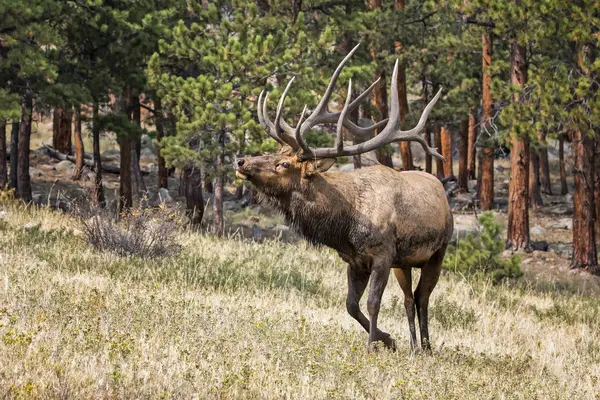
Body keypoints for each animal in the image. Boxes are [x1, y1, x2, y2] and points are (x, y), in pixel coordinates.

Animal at [237, 44, 452, 354]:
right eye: (273, 153)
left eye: (283, 164)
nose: (241, 161)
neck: (344, 224)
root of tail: (442, 190)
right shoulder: (354, 261)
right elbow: (351, 305)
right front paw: (387, 339)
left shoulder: (383, 254)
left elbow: (373, 303)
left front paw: (372, 346)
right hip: (405, 263)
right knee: (410, 298)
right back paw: (414, 347)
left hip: (438, 252)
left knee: (423, 297)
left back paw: (426, 347)